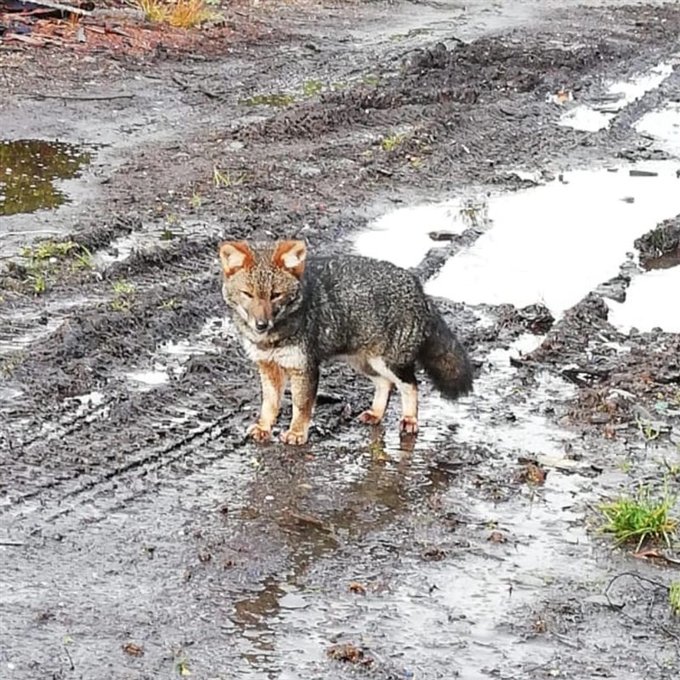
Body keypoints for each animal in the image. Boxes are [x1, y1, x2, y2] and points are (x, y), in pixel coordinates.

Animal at [218, 239, 473, 445]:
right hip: (364, 363)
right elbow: (269, 404)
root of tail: (417, 286)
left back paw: (409, 419)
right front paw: (264, 427)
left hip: (388, 362)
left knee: (410, 385)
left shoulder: (305, 367)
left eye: (275, 295)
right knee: (385, 384)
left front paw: (297, 433)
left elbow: (301, 405)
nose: (261, 324)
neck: (271, 339)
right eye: (248, 294)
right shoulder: (268, 366)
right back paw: (376, 413)